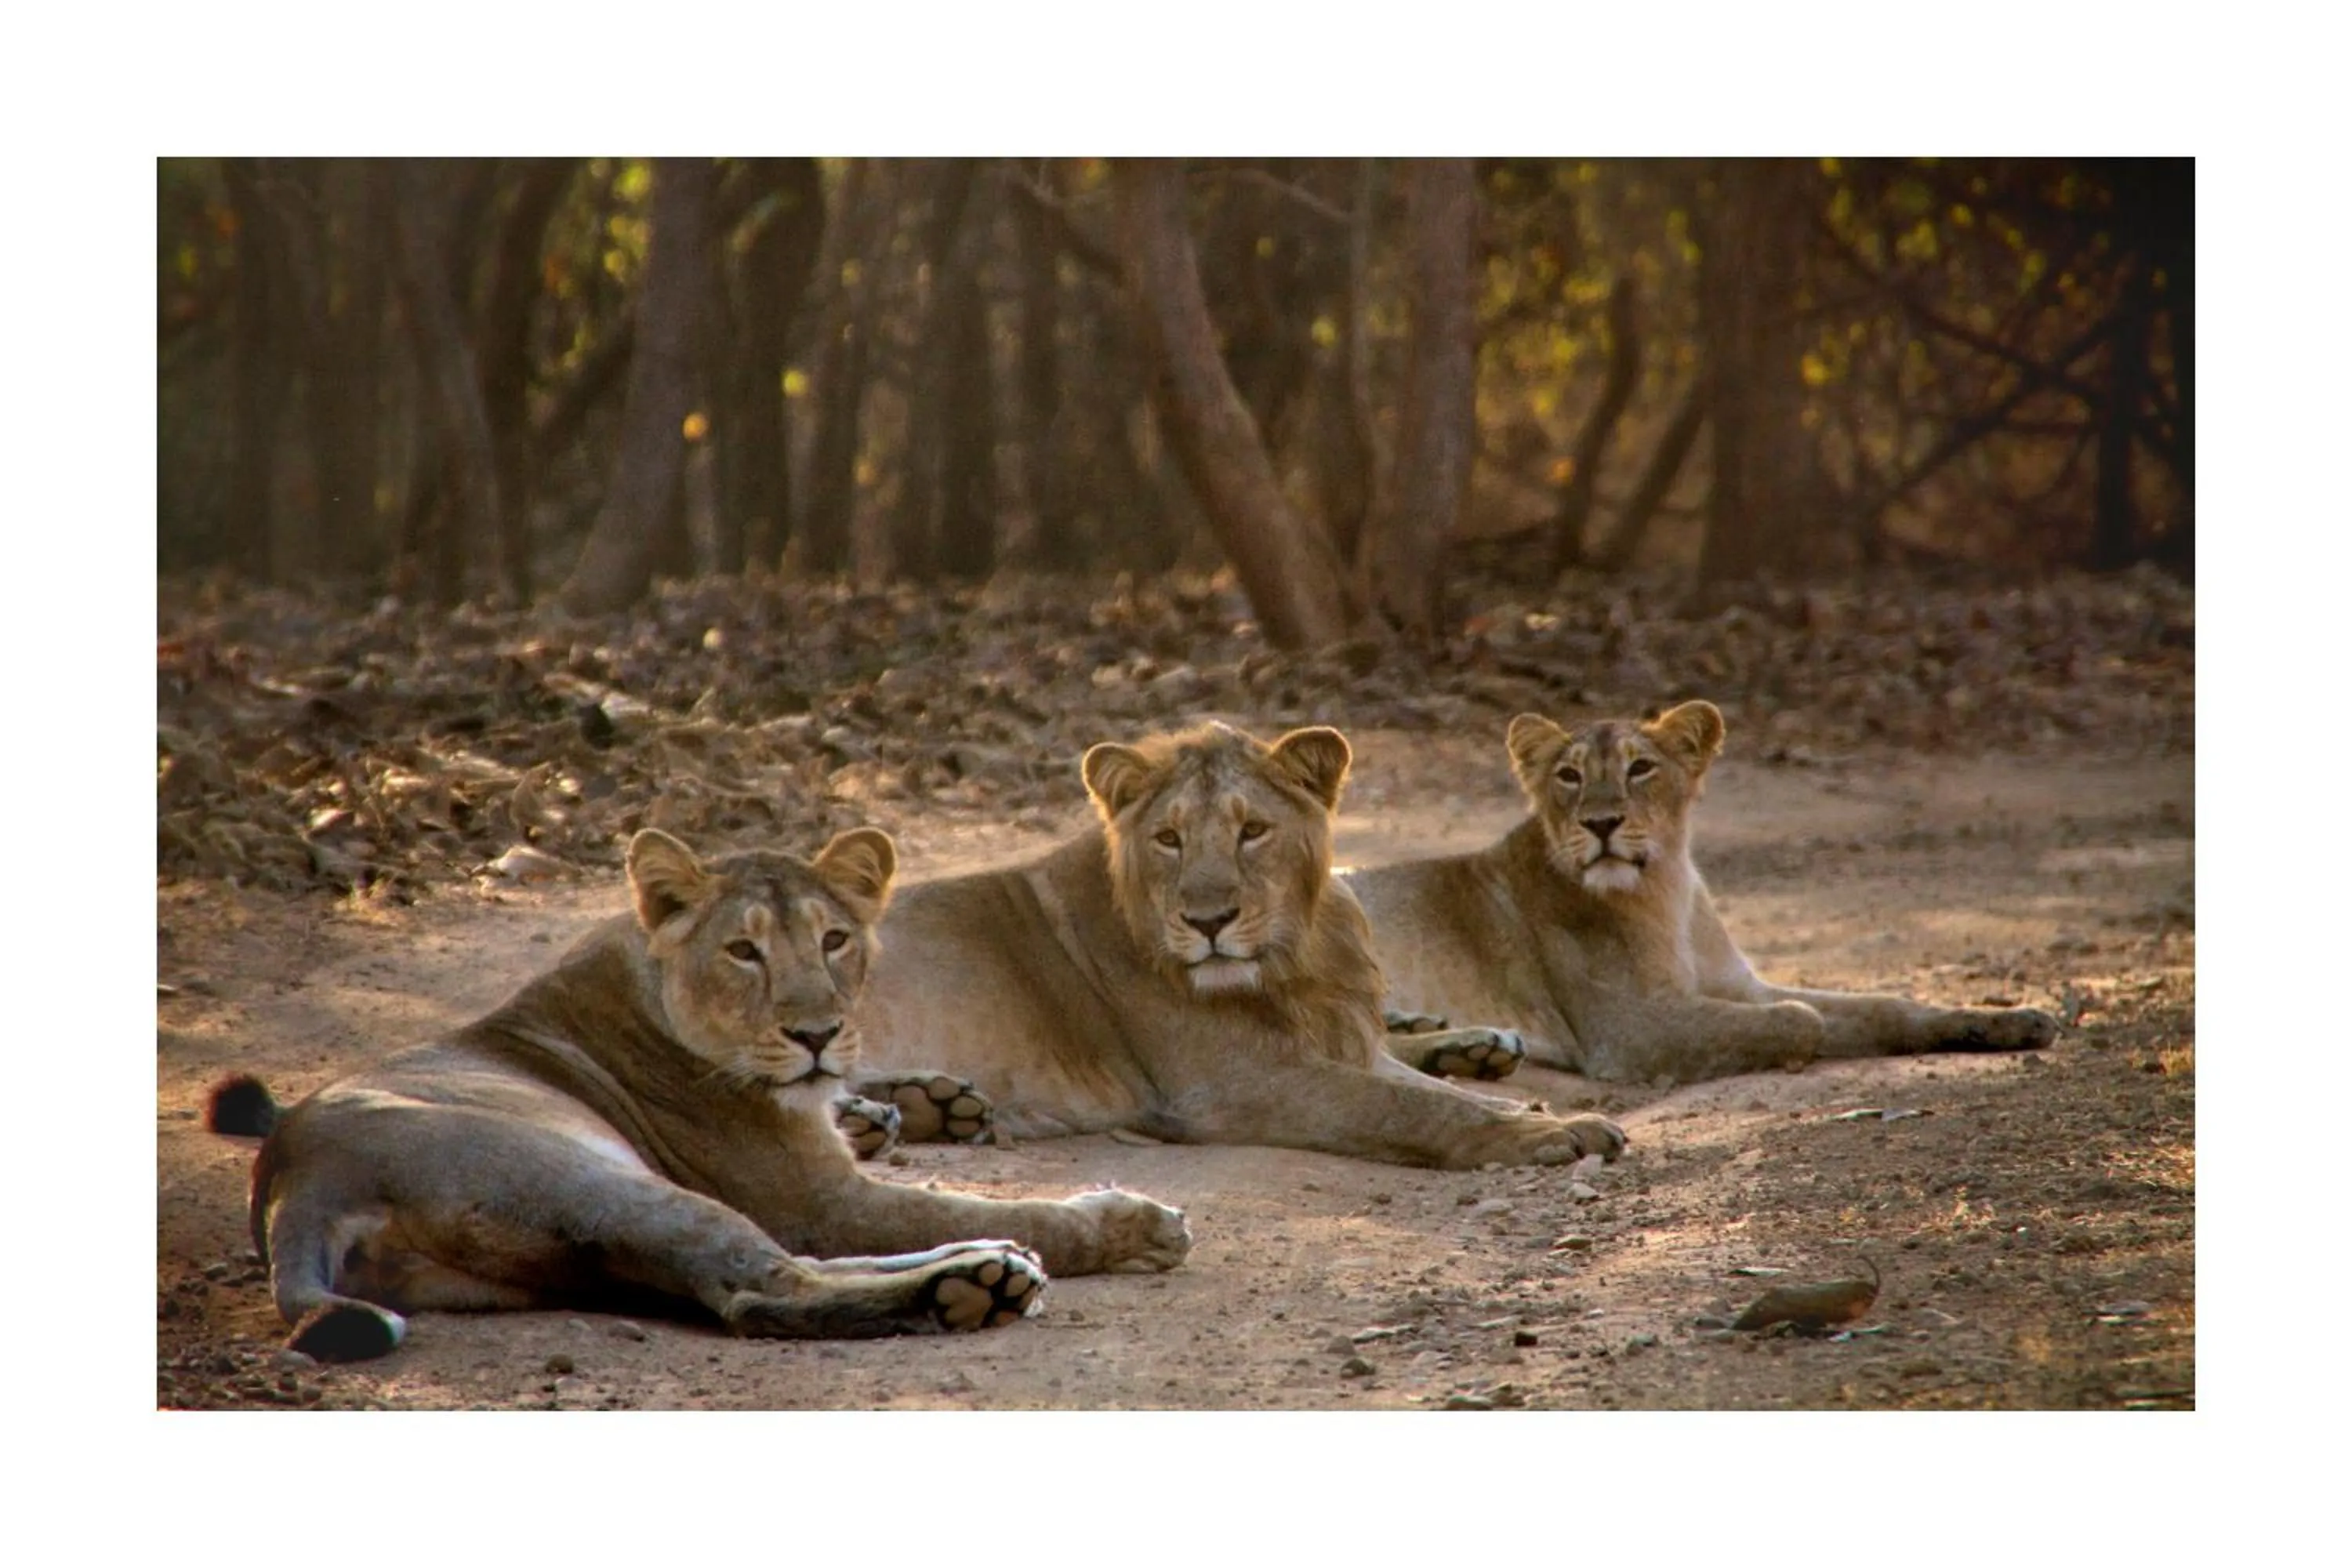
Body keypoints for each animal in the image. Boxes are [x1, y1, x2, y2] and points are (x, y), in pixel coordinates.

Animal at [204, 827, 1191, 1364]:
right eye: (743, 950)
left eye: (835, 938)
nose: (816, 1030)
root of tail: (295, 1179)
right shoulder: (820, 1197)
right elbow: (1010, 1204)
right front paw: (1130, 1220)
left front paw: (912, 1103)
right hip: (601, 1184)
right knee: (764, 1289)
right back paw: (976, 1283)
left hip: (569, 1257)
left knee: (765, 1272)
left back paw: (980, 1258)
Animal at [849, 722, 1626, 1170]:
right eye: (1168, 838)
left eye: (1252, 831)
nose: (1209, 921)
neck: (1294, 958)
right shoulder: (1231, 1084)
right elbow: (1411, 1108)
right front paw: (1532, 1137)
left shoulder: (1342, 1045)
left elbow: (1430, 1090)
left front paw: (1552, 1116)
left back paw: (929, 1104)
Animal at [1343, 701, 2061, 1086]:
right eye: (1569, 776)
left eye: (1641, 768)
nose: (1601, 823)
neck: (1667, 888)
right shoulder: (1630, 1029)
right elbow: (1804, 1019)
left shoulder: (1738, 986)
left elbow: (1881, 1006)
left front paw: (2010, 1022)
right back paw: (1467, 1048)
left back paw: (1458, 1041)